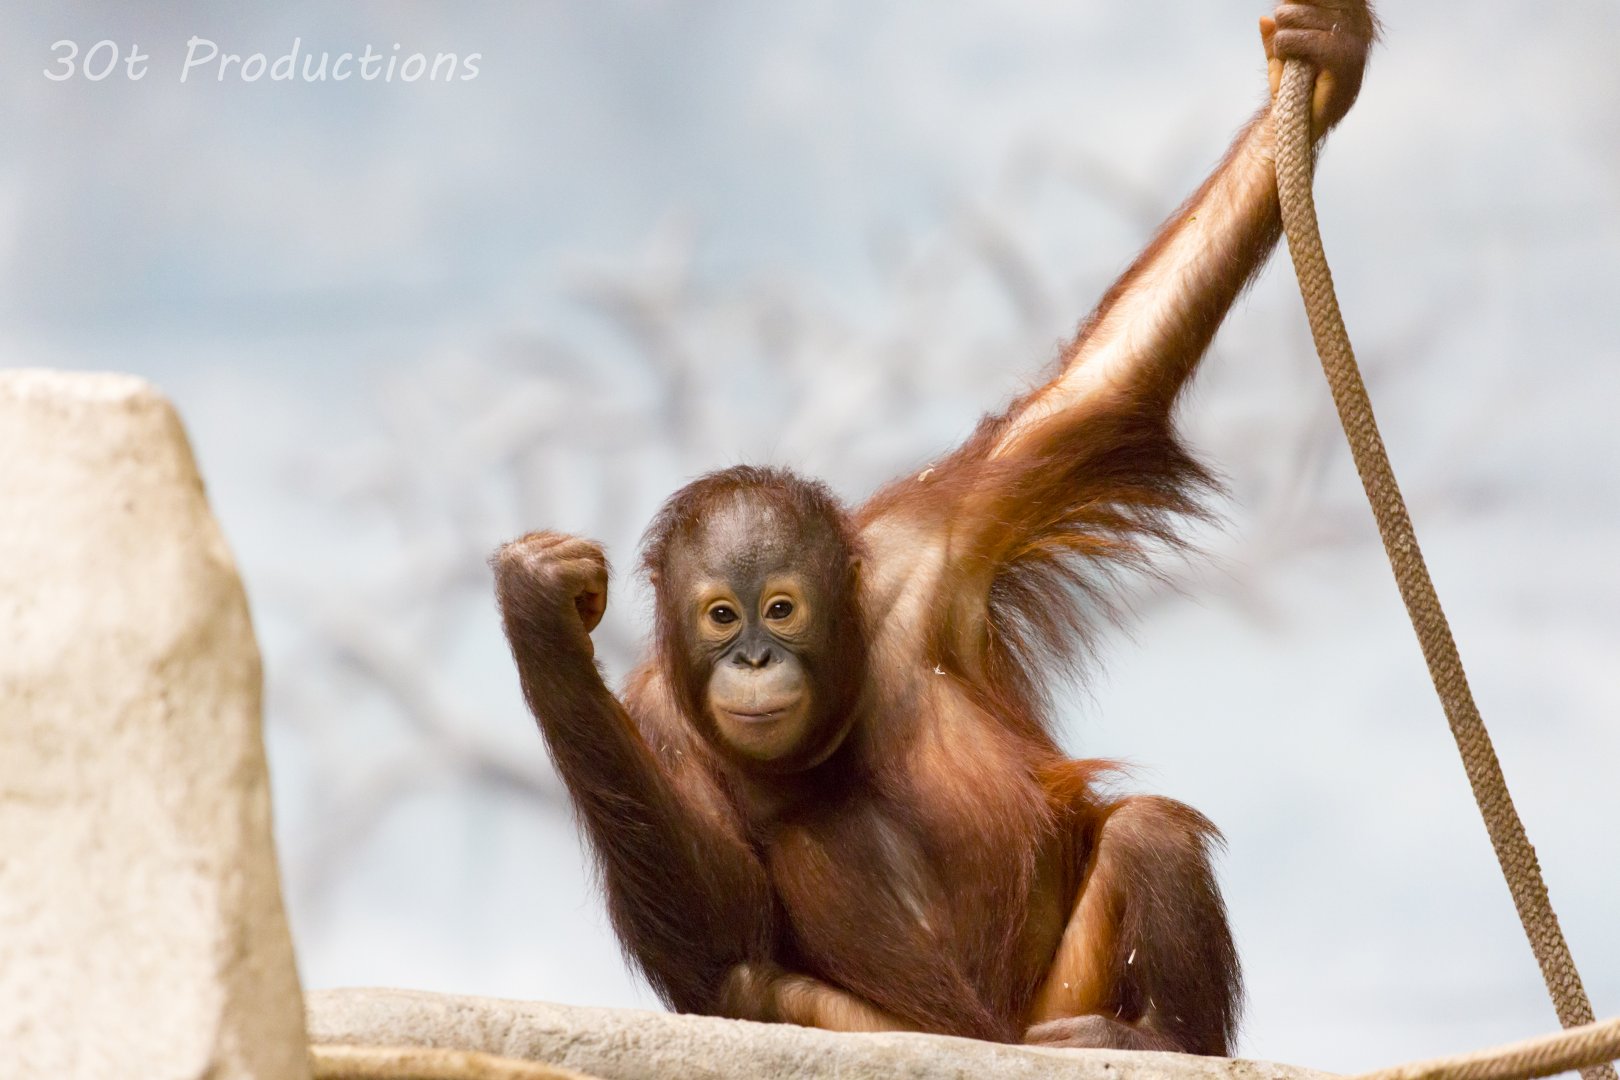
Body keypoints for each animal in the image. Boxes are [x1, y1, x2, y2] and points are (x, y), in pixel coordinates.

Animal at [493, 0, 1375, 1053]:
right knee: (763, 986)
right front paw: (538, 609)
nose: (752, 658)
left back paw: (1159, 1039)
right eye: (719, 616)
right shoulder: (658, 718)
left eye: (780, 608)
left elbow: (1105, 386)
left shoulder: (941, 533)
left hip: (1059, 1003)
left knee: (1146, 829)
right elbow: (720, 946)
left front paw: (1329, 57)